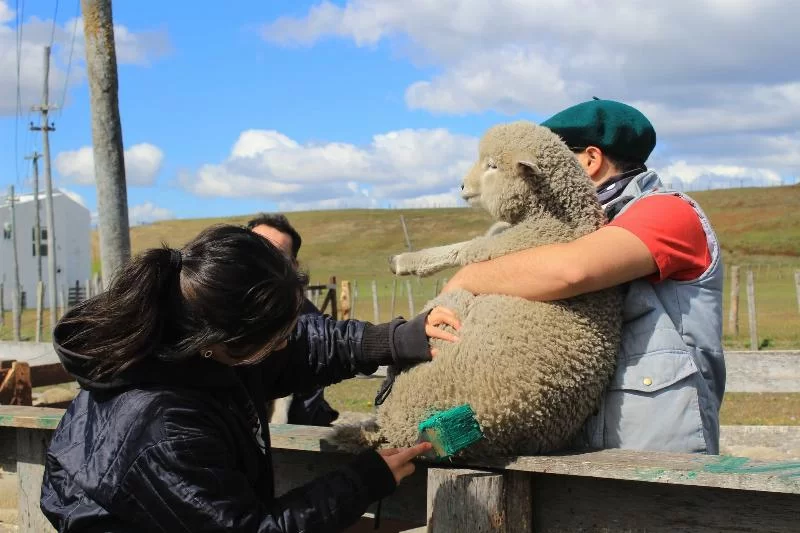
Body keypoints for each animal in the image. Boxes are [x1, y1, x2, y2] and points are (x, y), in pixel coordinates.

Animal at [330, 120, 624, 458]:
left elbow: (462, 249)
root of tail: (400, 432)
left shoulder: (498, 249)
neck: (559, 221)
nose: (460, 186)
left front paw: (405, 262)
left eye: (492, 165)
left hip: (447, 313)